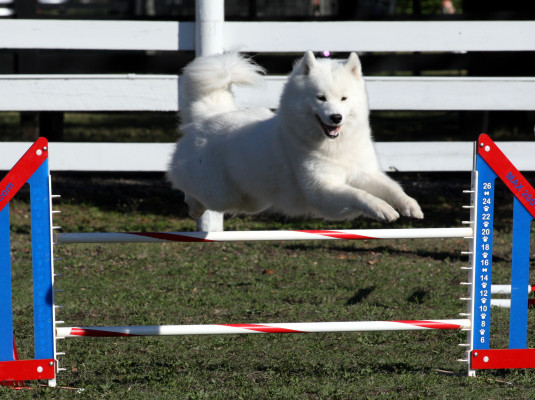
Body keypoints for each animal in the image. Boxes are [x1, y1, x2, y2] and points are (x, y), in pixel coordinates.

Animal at [168, 50, 422, 222]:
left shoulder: (365, 173)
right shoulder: (323, 191)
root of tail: (208, 116)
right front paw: (382, 209)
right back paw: (194, 209)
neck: (335, 147)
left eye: (344, 98)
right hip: (221, 194)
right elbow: (359, 195)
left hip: (252, 201)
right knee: (190, 190)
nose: (336, 118)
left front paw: (409, 205)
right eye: (321, 98)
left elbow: (392, 188)